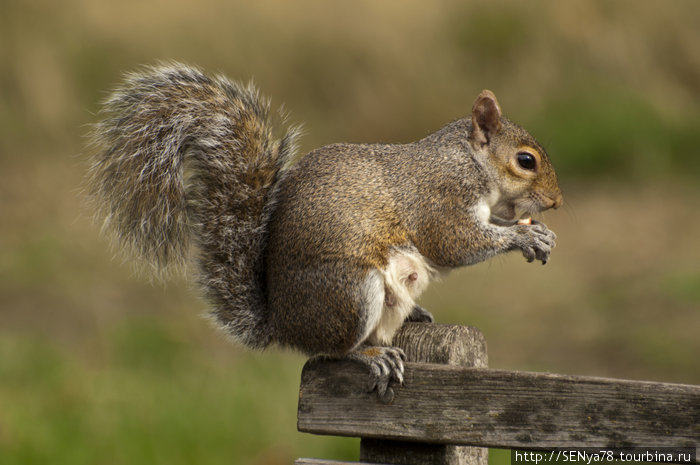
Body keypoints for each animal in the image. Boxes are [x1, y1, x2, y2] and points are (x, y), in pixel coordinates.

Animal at [87, 63, 564, 400]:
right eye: (525, 161)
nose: (557, 202)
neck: (468, 160)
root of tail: (284, 323)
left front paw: (538, 232)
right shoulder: (440, 199)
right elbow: (455, 242)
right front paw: (524, 237)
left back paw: (413, 315)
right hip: (351, 290)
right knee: (331, 351)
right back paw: (371, 355)